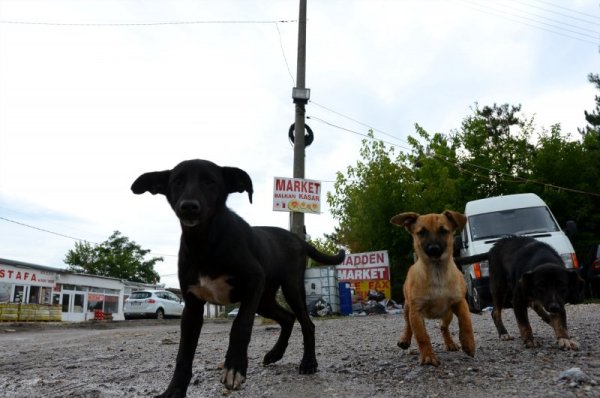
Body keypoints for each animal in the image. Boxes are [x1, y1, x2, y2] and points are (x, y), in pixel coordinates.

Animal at [133, 159, 344, 398]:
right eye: (177, 181)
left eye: (210, 181)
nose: (189, 206)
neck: (205, 242)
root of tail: (298, 239)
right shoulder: (192, 306)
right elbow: (184, 353)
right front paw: (174, 389)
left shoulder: (253, 282)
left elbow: (240, 325)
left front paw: (234, 368)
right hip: (264, 300)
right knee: (288, 318)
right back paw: (275, 353)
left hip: (290, 288)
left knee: (307, 323)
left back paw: (308, 363)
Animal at [390, 213, 478, 366]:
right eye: (421, 232)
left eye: (444, 231)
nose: (433, 249)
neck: (437, 272)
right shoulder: (416, 312)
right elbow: (422, 336)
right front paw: (428, 356)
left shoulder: (460, 302)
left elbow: (466, 322)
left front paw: (468, 344)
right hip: (407, 308)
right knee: (408, 326)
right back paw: (404, 340)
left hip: (447, 314)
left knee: (443, 328)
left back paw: (450, 343)